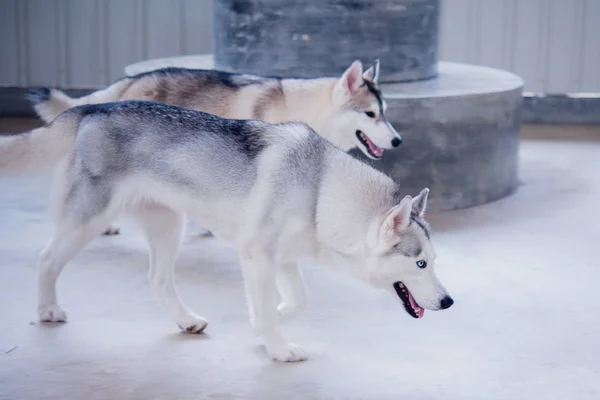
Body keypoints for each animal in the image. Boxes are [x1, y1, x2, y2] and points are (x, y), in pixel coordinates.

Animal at [0, 101, 450, 362]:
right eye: (420, 263)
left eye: (434, 261)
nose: (448, 302)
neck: (321, 189)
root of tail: (95, 107)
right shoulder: (258, 256)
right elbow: (272, 307)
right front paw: (278, 346)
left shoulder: (282, 259)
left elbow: (296, 301)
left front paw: (265, 325)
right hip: (88, 221)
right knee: (47, 258)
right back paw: (47, 310)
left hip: (169, 227)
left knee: (158, 280)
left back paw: (185, 320)